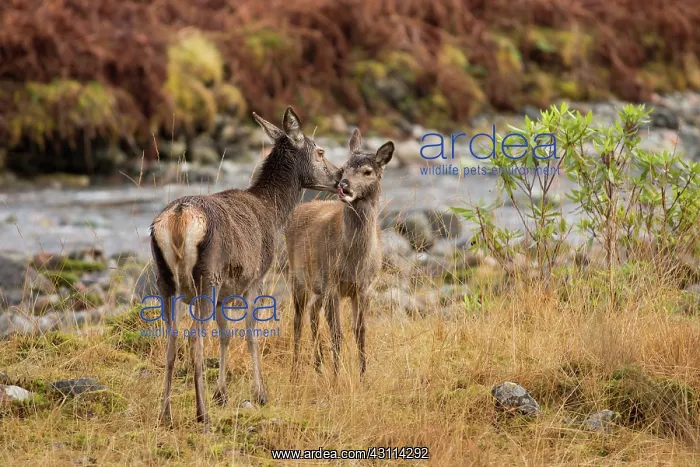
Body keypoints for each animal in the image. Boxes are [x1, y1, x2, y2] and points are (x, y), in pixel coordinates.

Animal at [149, 107, 341, 430]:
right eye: (320, 151)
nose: (341, 177)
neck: (274, 212)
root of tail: (179, 219)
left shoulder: (227, 291)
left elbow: (226, 335)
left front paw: (222, 394)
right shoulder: (256, 279)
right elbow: (251, 334)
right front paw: (260, 394)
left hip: (165, 279)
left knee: (171, 339)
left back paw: (165, 414)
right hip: (207, 277)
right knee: (194, 339)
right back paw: (202, 415)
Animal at [285, 128, 394, 378]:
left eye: (367, 171)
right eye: (344, 167)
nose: (344, 185)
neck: (354, 260)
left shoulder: (364, 287)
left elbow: (360, 331)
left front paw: (362, 375)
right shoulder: (332, 284)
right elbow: (337, 333)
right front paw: (336, 376)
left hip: (317, 287)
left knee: (312, 312)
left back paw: (317, 366)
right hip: (298, 277)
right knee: (298, 320)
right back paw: (295, 371)